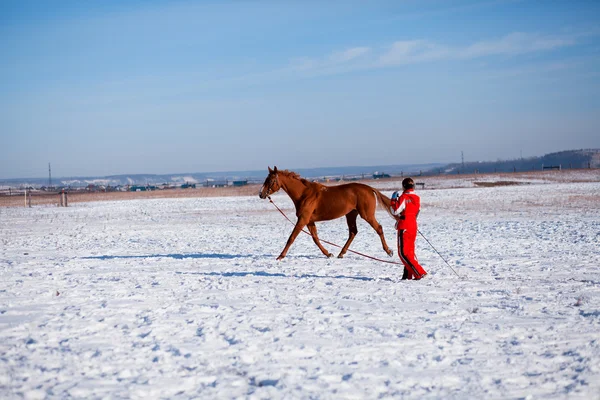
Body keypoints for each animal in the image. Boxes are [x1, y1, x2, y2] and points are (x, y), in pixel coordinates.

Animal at [258, 166, 394, 260]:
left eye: (270, 180)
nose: (261, 194)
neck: (304, 194)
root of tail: (370, 188)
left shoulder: (303, 219)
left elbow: (291, 238)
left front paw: (280, 256)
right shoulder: (309, 221)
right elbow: (315, 238)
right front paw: (328, 253)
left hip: (366, 215)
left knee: (378, 228)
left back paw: (389, 251)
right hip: (351, 215)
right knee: (353, 232)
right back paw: (341, 253)